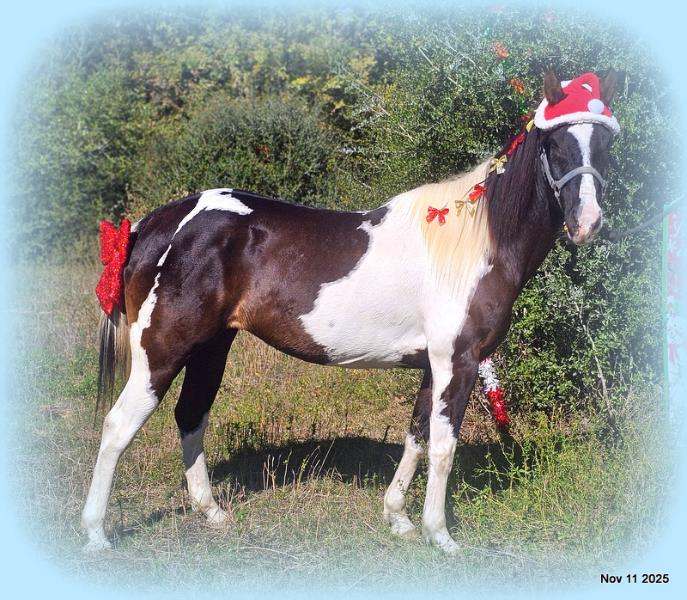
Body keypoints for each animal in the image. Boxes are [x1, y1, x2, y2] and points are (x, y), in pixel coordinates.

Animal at [82, 70, 620, 554]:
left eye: (606, 146)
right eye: (554, 144)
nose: (588, 223)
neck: (473, 243)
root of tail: (153, 225)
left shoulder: (432, 365)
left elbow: (417, 435)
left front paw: (398, 518)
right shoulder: (458, 362)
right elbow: (443, 447)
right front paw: (441, 535)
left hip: (212, 345)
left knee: (191, 413)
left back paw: (212, 512)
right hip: (162, 350)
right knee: (118, 425)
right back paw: (96, 533)